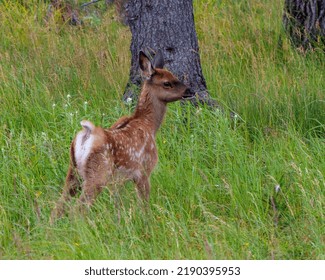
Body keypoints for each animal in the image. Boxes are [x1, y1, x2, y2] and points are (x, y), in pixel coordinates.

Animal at [50, 50, 192, 221]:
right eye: (167, 83)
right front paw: (146, 222)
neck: (149, 125)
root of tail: (86, 133)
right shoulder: (144, 170)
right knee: (78, 208)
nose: (190, 91)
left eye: (175, 76)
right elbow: (143, 204)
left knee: (58, 206)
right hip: (98, 173)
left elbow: (118, 203)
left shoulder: (121, 180)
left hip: (73, 172)